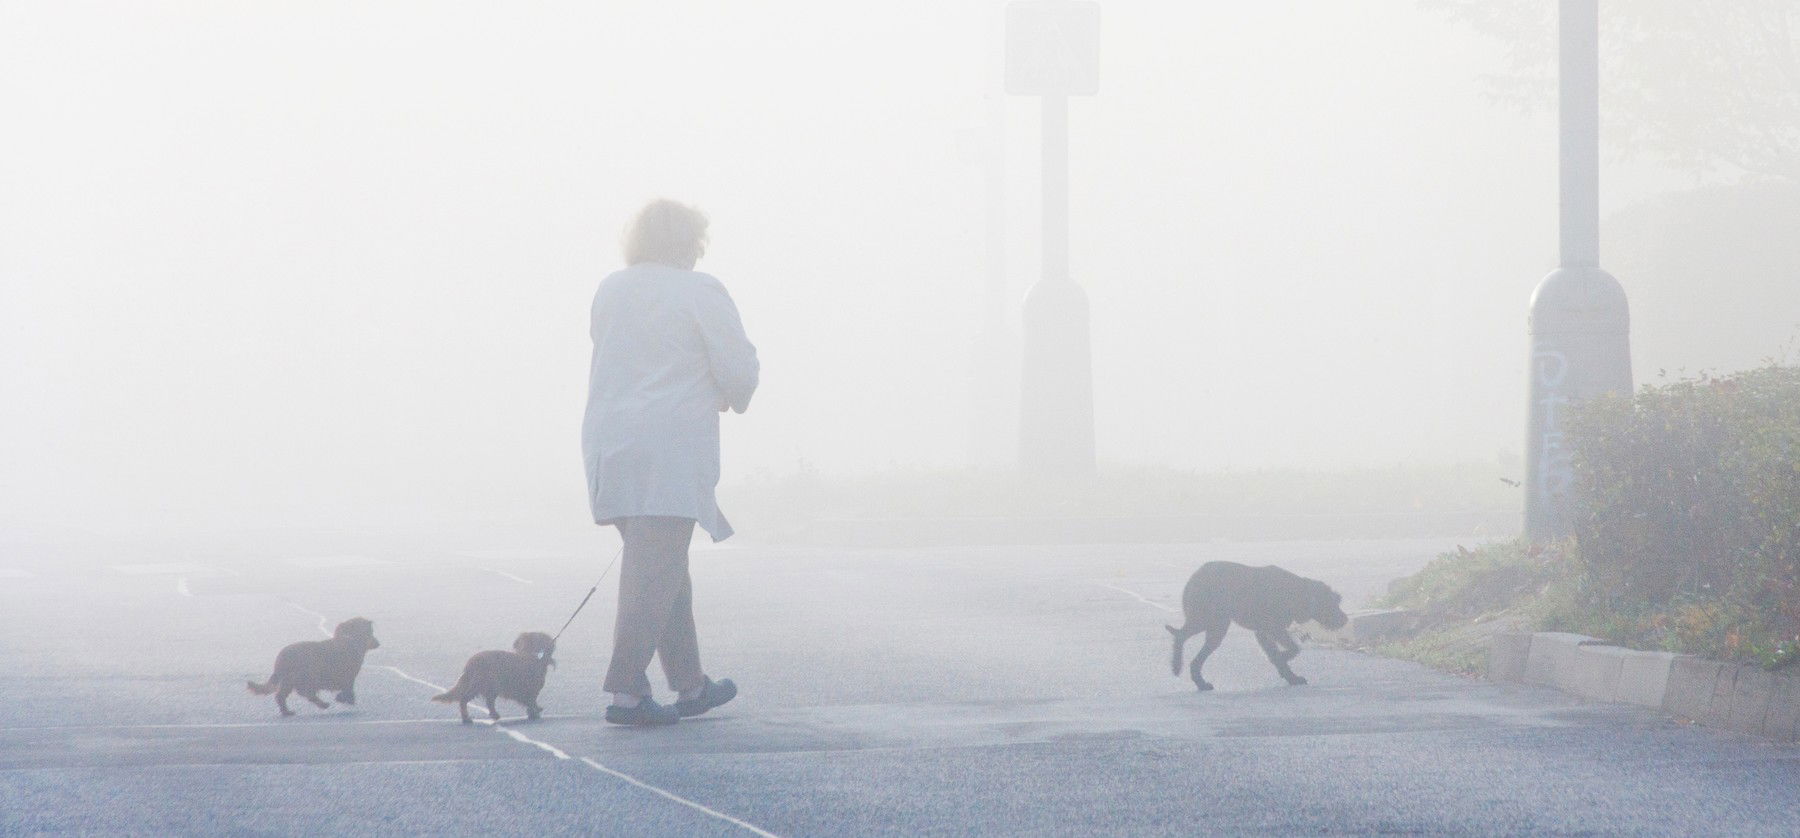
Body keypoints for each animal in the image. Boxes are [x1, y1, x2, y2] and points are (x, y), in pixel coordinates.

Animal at [248, 615, 381, 712]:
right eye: (371, 632)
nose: (378, 643)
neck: (349, 640)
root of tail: (280, 658)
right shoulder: (348, 676)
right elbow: (348, 689)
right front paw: (346, 699)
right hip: (300, 677)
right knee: (299, 694)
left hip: (292, 680)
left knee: (289, 695)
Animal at [1166, 564, 1353, 686]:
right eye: (1333, 604)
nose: (1345, 619)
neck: (1298, 593)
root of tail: (1193, 578)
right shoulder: (1273, 628)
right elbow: (1293, 649)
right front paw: (1282, 661)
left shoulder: (1263, 632)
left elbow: (1277, 652)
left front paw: (1290, 676)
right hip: (1209, 620)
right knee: (1180, 636)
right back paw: (1178, 666)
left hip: (1214, 624)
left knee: (1190, 649)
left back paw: (1199, 681)